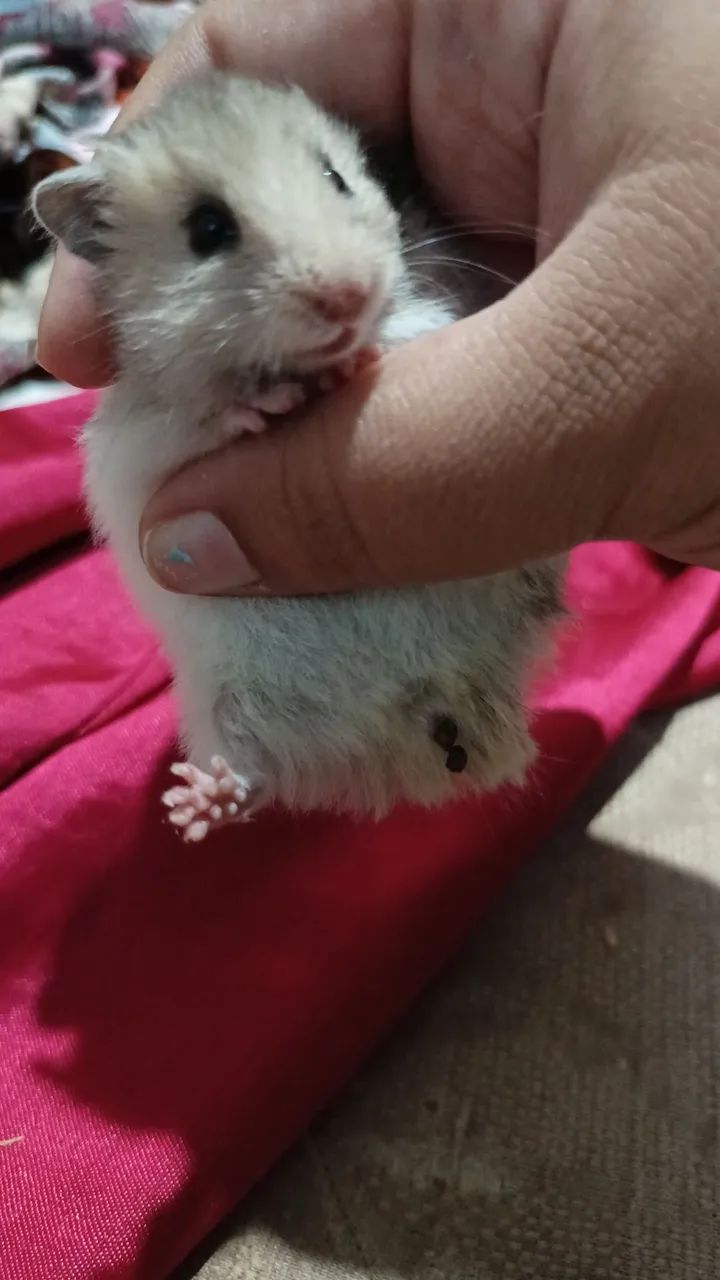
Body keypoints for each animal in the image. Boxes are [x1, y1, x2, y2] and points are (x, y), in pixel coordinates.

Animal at [32, 71, 564, 840]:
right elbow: (198, 419)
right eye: (208, 229)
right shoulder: (136, 444)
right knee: (255, 779)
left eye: (335, 177)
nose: (348, 296)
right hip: (228, 706)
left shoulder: (432, 320)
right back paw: (194, 806)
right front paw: (265, 403)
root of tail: (410, 752)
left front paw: (353, 363)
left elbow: (403, 335)